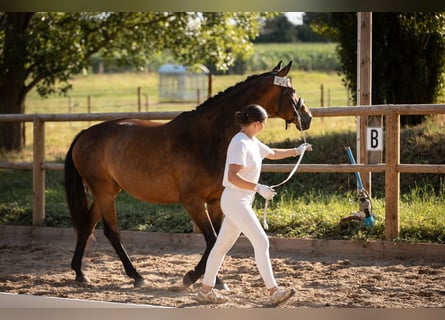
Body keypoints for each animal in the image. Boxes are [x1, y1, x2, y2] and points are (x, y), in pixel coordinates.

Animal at [64, 60, 310, 290]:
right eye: (290, 90)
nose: (307, 117)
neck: (208, 138)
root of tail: (85, 133)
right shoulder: (192, 201)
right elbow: (212, 239)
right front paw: (191, 277)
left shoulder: (214, 201)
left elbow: (217, 241)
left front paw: (215, 281)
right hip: (104, 192)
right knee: (111, 231)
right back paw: (136, 276)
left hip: (106, 192)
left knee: (87, 226)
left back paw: (80, 273)